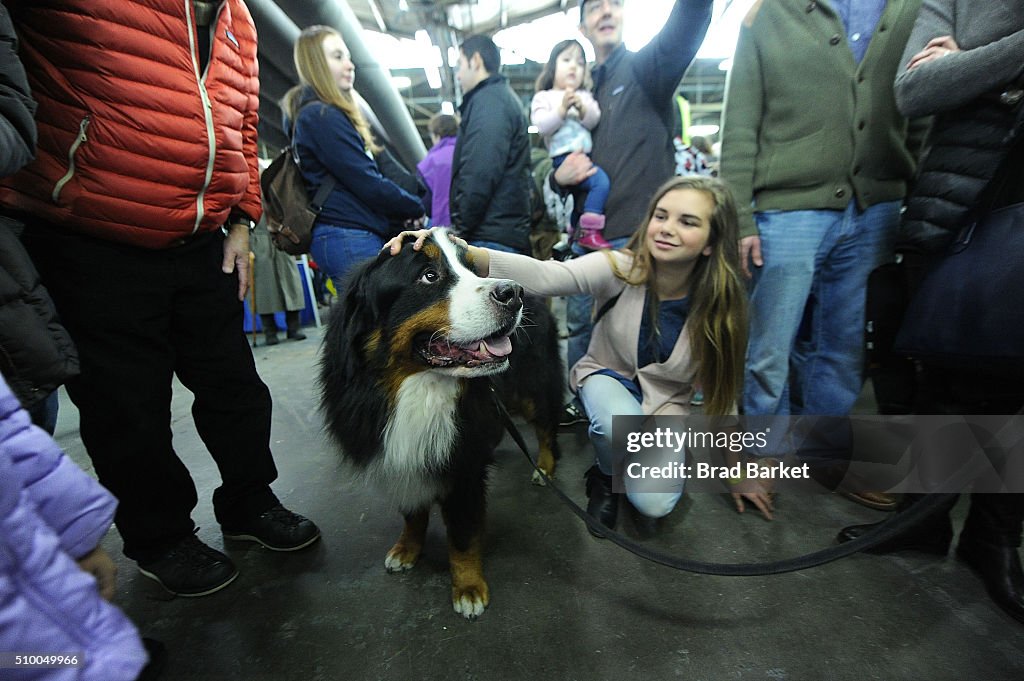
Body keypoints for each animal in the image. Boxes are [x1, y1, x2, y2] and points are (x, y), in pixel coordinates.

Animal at [317, 231, 561, 618]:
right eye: (429, 276)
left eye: (472, 268)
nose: (513, 292)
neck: (417, 388)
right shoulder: (400, 456)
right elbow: (412, 513)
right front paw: (406, 549)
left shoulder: (463, 470)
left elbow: (462, 535)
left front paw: (469, 589)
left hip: (533, 388)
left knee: (546, 429)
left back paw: (544, 468)